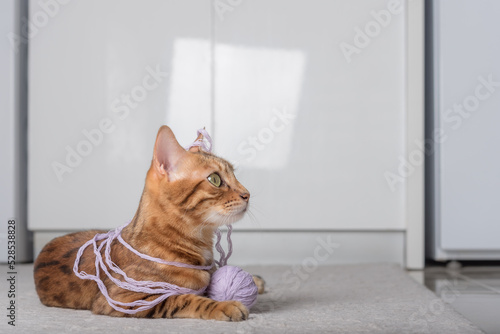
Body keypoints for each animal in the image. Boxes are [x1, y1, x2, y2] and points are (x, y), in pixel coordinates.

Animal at [33, 125, 264, 320]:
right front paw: (223, 305)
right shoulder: (124, 299)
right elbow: (184, 299)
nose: (247, 194)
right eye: (215, 179)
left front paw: (254, 280)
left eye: (235, 175)